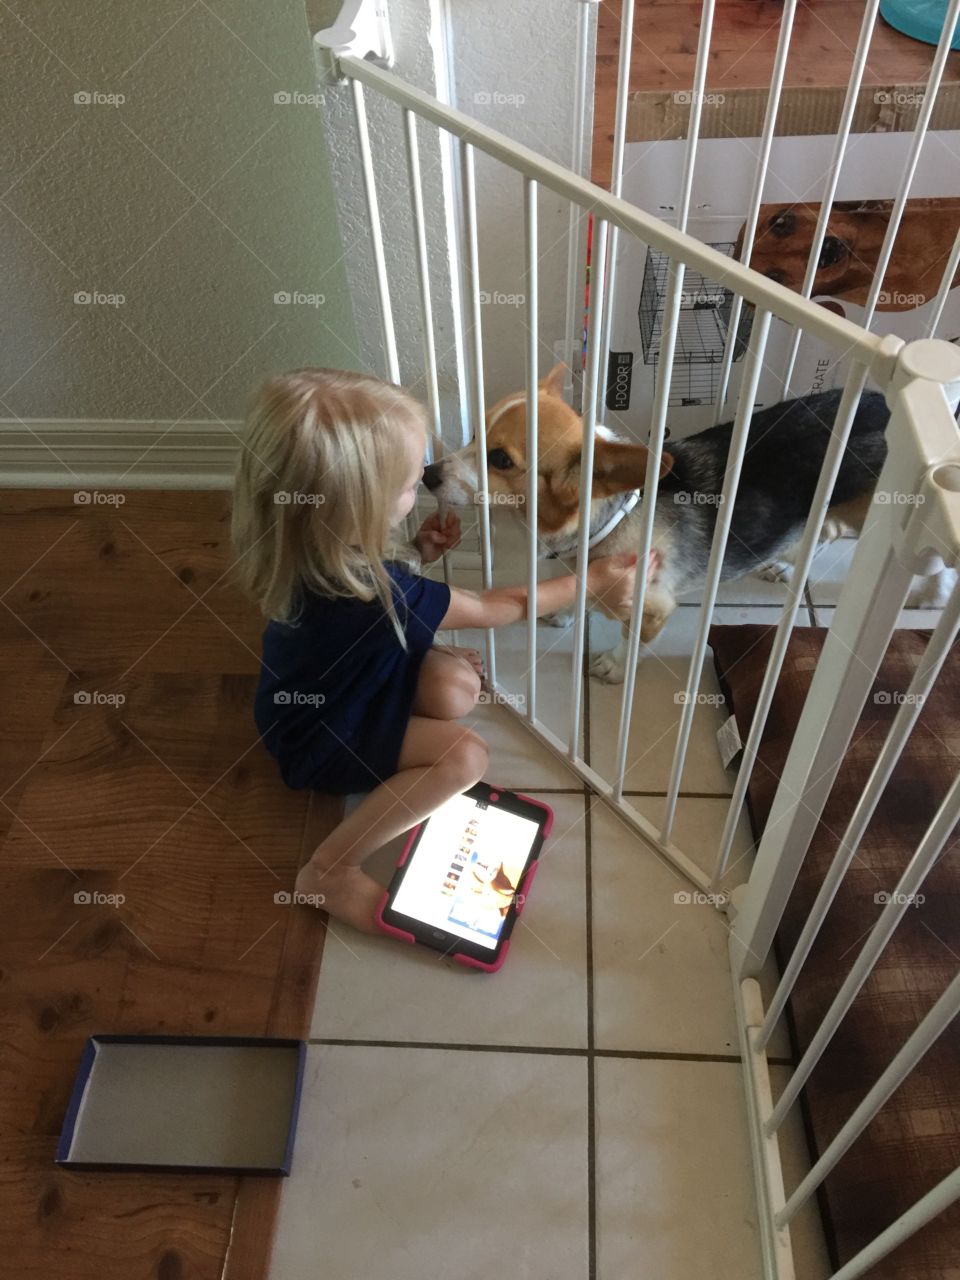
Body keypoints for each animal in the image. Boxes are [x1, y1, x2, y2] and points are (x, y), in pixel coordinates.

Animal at [427, 366, 957, 686]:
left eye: (501, 460)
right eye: (472, 433)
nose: (428, 474)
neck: (610, 518)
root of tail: (888, 405)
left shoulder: (653, 607)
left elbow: (630, 641)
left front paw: (613, 667)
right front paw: (566, 612)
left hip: (888, 517)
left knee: (933, 560)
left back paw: (933, 596)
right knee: (823, 534)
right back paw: (786, 567)